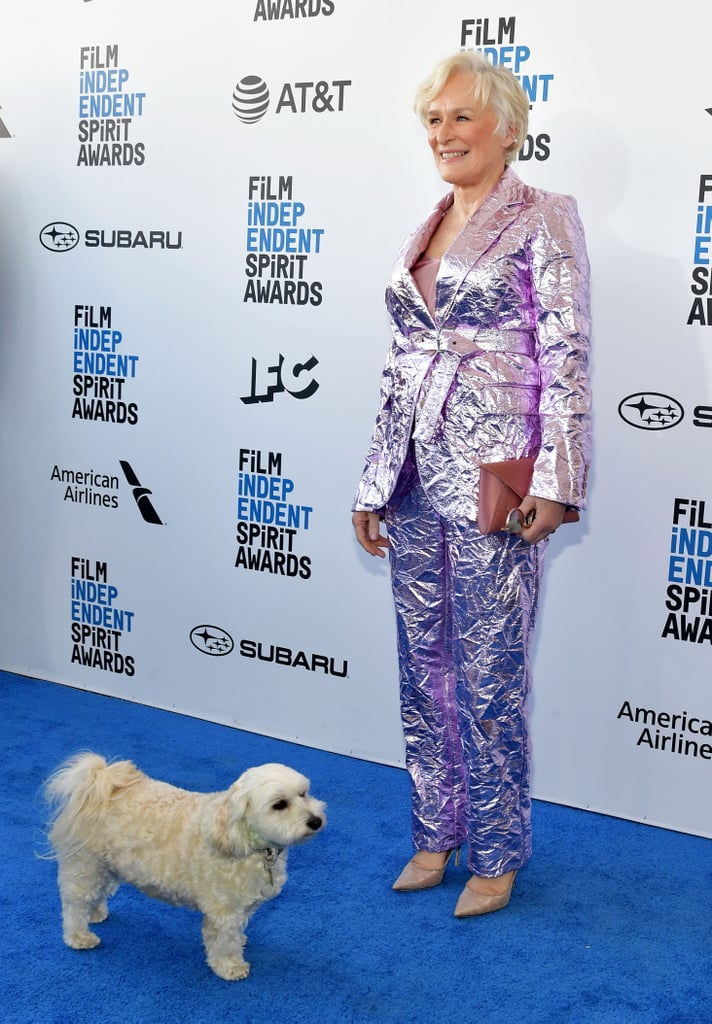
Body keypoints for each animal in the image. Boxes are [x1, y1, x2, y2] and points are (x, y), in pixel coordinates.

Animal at [45, 757, 329, 978]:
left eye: (303, 793)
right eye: (279, 805)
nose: (316, 821)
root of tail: (100, 787)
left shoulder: (243, 905)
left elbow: (237, 931)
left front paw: (241, 942)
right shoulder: (223, 910)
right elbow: (225, 941)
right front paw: (230, 966)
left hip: (108, 866)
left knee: (96, 893)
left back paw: (95, 913)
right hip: (85, 864)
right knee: (74, 904)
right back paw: (79, 936)